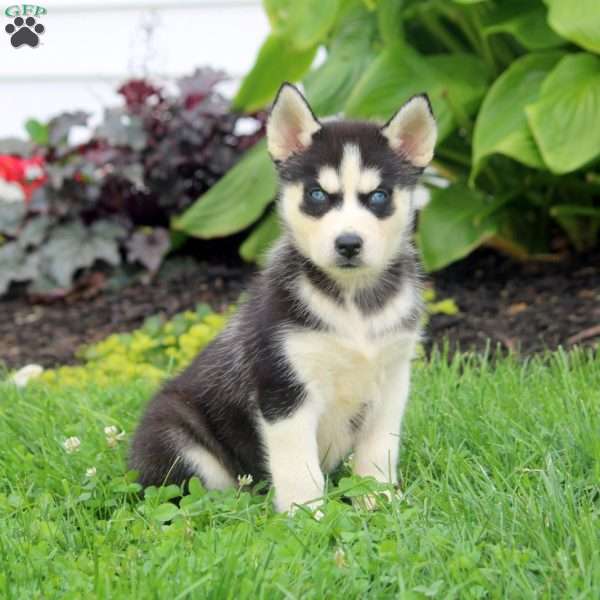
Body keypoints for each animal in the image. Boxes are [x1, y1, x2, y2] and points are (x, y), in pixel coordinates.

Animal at [130, 83, 436, 516]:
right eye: (317, 194)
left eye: (378, 197)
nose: (348, 244)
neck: (353, 302)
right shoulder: (283, 389)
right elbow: (297, 469)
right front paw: (308, 517)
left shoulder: (392, 380)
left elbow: (379, 452)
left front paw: (378, 501)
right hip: (176, 434)